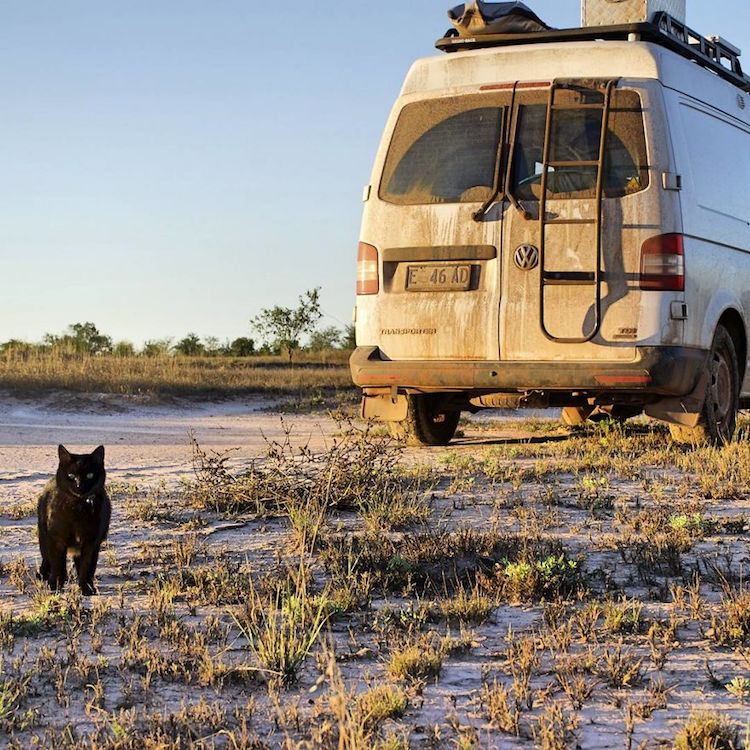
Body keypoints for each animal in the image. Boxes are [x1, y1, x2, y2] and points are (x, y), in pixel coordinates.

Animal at [38, 446, 111, 600]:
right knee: (47, 558)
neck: (78, 507)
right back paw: (44, 575)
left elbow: (86, 568)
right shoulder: (57, 540)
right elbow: (58, 565)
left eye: (89, 475)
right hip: (44, 537)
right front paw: (56, 586)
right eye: (71, 475)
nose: (79, 485)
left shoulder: (91, 543)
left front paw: (86, 589)